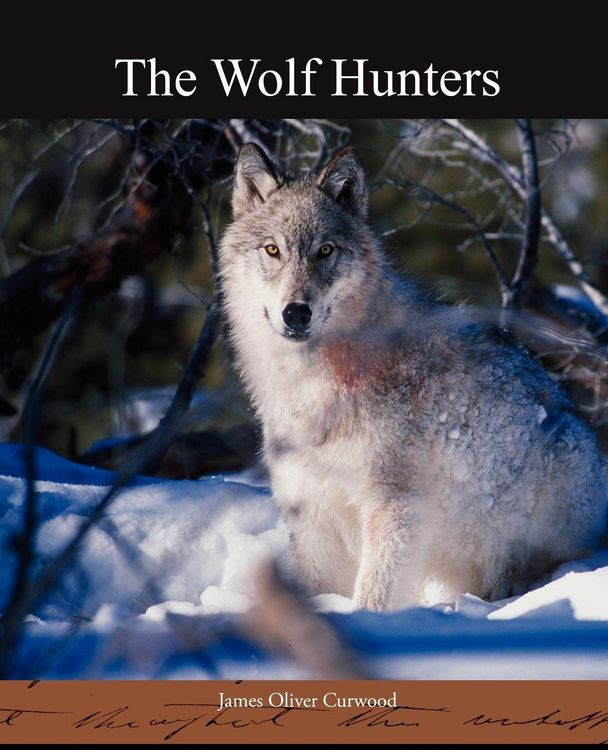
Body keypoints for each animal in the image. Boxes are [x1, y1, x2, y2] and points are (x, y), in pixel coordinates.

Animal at [218, 142, 608, 611]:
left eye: (325, 251)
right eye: (273, 250)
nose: (296, 313)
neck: (313, 383)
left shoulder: (395, 507)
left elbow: (374, 595)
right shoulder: (311, 509)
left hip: (557, 465)